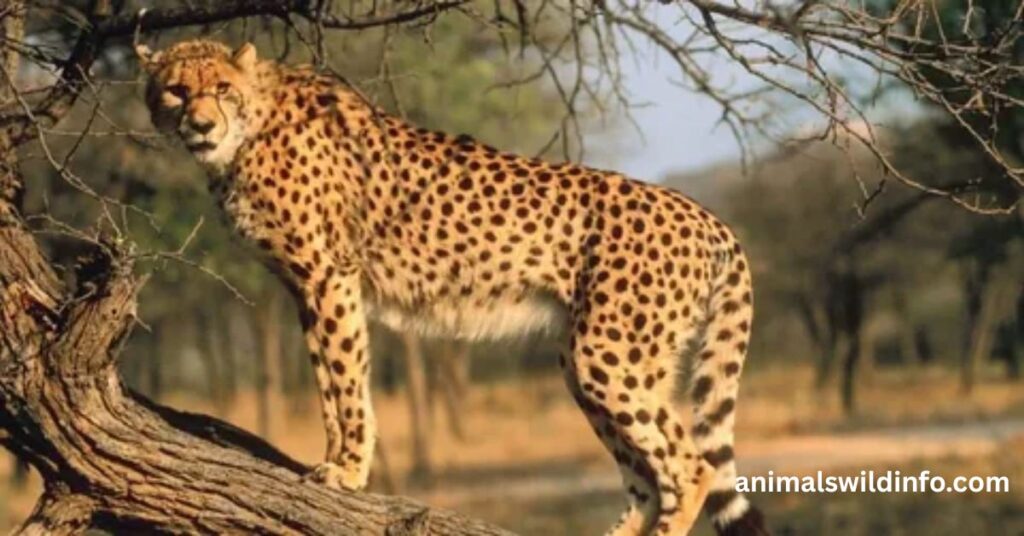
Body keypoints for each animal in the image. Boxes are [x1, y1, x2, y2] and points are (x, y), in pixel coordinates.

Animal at [136, 39, 768, 536]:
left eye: (221, 88)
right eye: (176, 91)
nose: (201, 124)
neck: (250, 129)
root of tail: (708, 217)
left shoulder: (329, 276)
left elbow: (345, 380)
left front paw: (348, 470)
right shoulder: (303, 288)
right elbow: (327, 382)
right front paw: (335, 460)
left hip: (609, 355)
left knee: (688, 468)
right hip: (592, 360)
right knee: (646, 480)